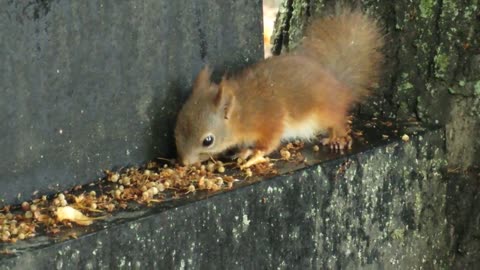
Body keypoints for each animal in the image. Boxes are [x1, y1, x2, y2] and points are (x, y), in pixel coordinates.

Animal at [174, 8, 384, 169]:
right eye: (176, 128)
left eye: (207, 141)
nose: (185, 162)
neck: (242, 113)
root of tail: (339, 86)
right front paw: (244, 151)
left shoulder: (270, 120)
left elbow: (269, 144)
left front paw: (253, 157)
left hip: (326, 112)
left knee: (338, 122)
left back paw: (337, 138)